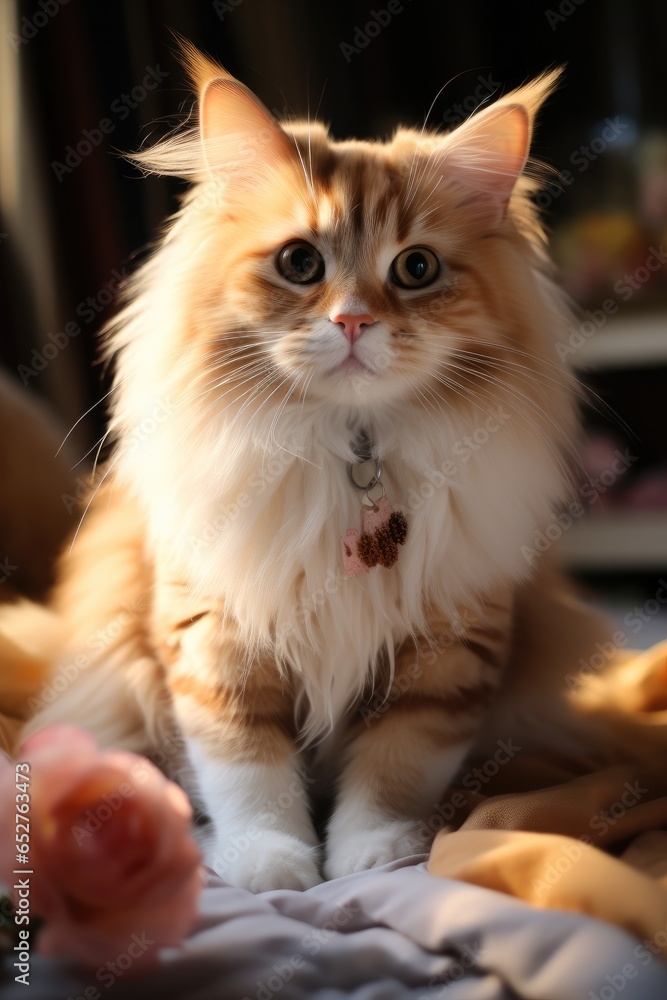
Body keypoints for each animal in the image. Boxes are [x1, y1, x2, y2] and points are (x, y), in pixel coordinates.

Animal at [19, 47, 616, 892]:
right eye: (300, 262)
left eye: (416, 268)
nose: (353, 320)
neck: (345, 452)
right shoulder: (215, 637)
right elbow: (247, 771)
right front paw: (271, 865)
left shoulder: (445, 651)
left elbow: (395, 768)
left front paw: (371, 856)